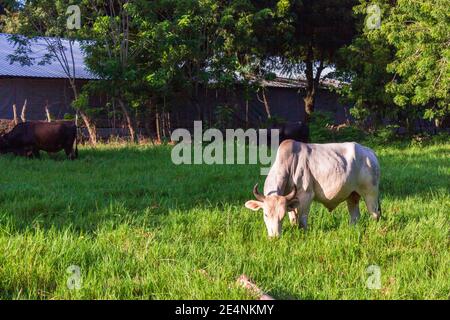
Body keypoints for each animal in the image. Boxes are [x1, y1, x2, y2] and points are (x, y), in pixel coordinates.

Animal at [244, 140, 382, 238]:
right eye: (265, 214)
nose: (274, 237)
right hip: (352, 195)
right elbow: (293, 219)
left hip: (371, 194)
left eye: (281, 216)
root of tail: (369, 152)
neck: (289, 164)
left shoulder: (306, 196)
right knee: (355, 216)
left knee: (375, 214)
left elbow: (302, 220)